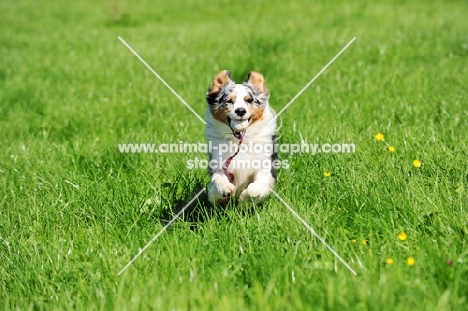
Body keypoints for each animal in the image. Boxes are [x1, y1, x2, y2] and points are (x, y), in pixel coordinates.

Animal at [206, 71, 278, 206]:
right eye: (229, 101)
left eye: (249, 100)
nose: (240, 110)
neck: (240, 140)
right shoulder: (219, 165)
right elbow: (217, 179)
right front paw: (225, 188)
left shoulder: (266, 166)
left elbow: (258, 185)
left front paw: (246, 198)